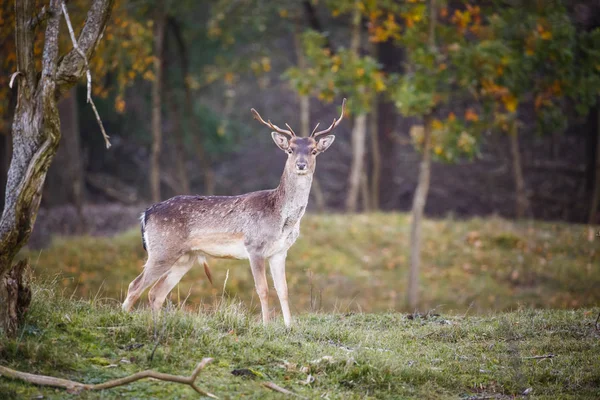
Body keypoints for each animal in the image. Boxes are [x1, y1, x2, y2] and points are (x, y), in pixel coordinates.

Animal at [122, 98, 346, 326]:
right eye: (290, 150)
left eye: (314, 151)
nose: (301, 165)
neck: (281, 219)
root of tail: (146, 214)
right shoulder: (254, 246)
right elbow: (263, 290)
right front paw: (266, 326)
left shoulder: (280, 251)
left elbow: (283, 290)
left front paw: (289, 327)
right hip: (162, 249)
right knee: (134, 286)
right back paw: (123, 319)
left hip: (185, 257)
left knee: (155, 293)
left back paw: (158, 325)